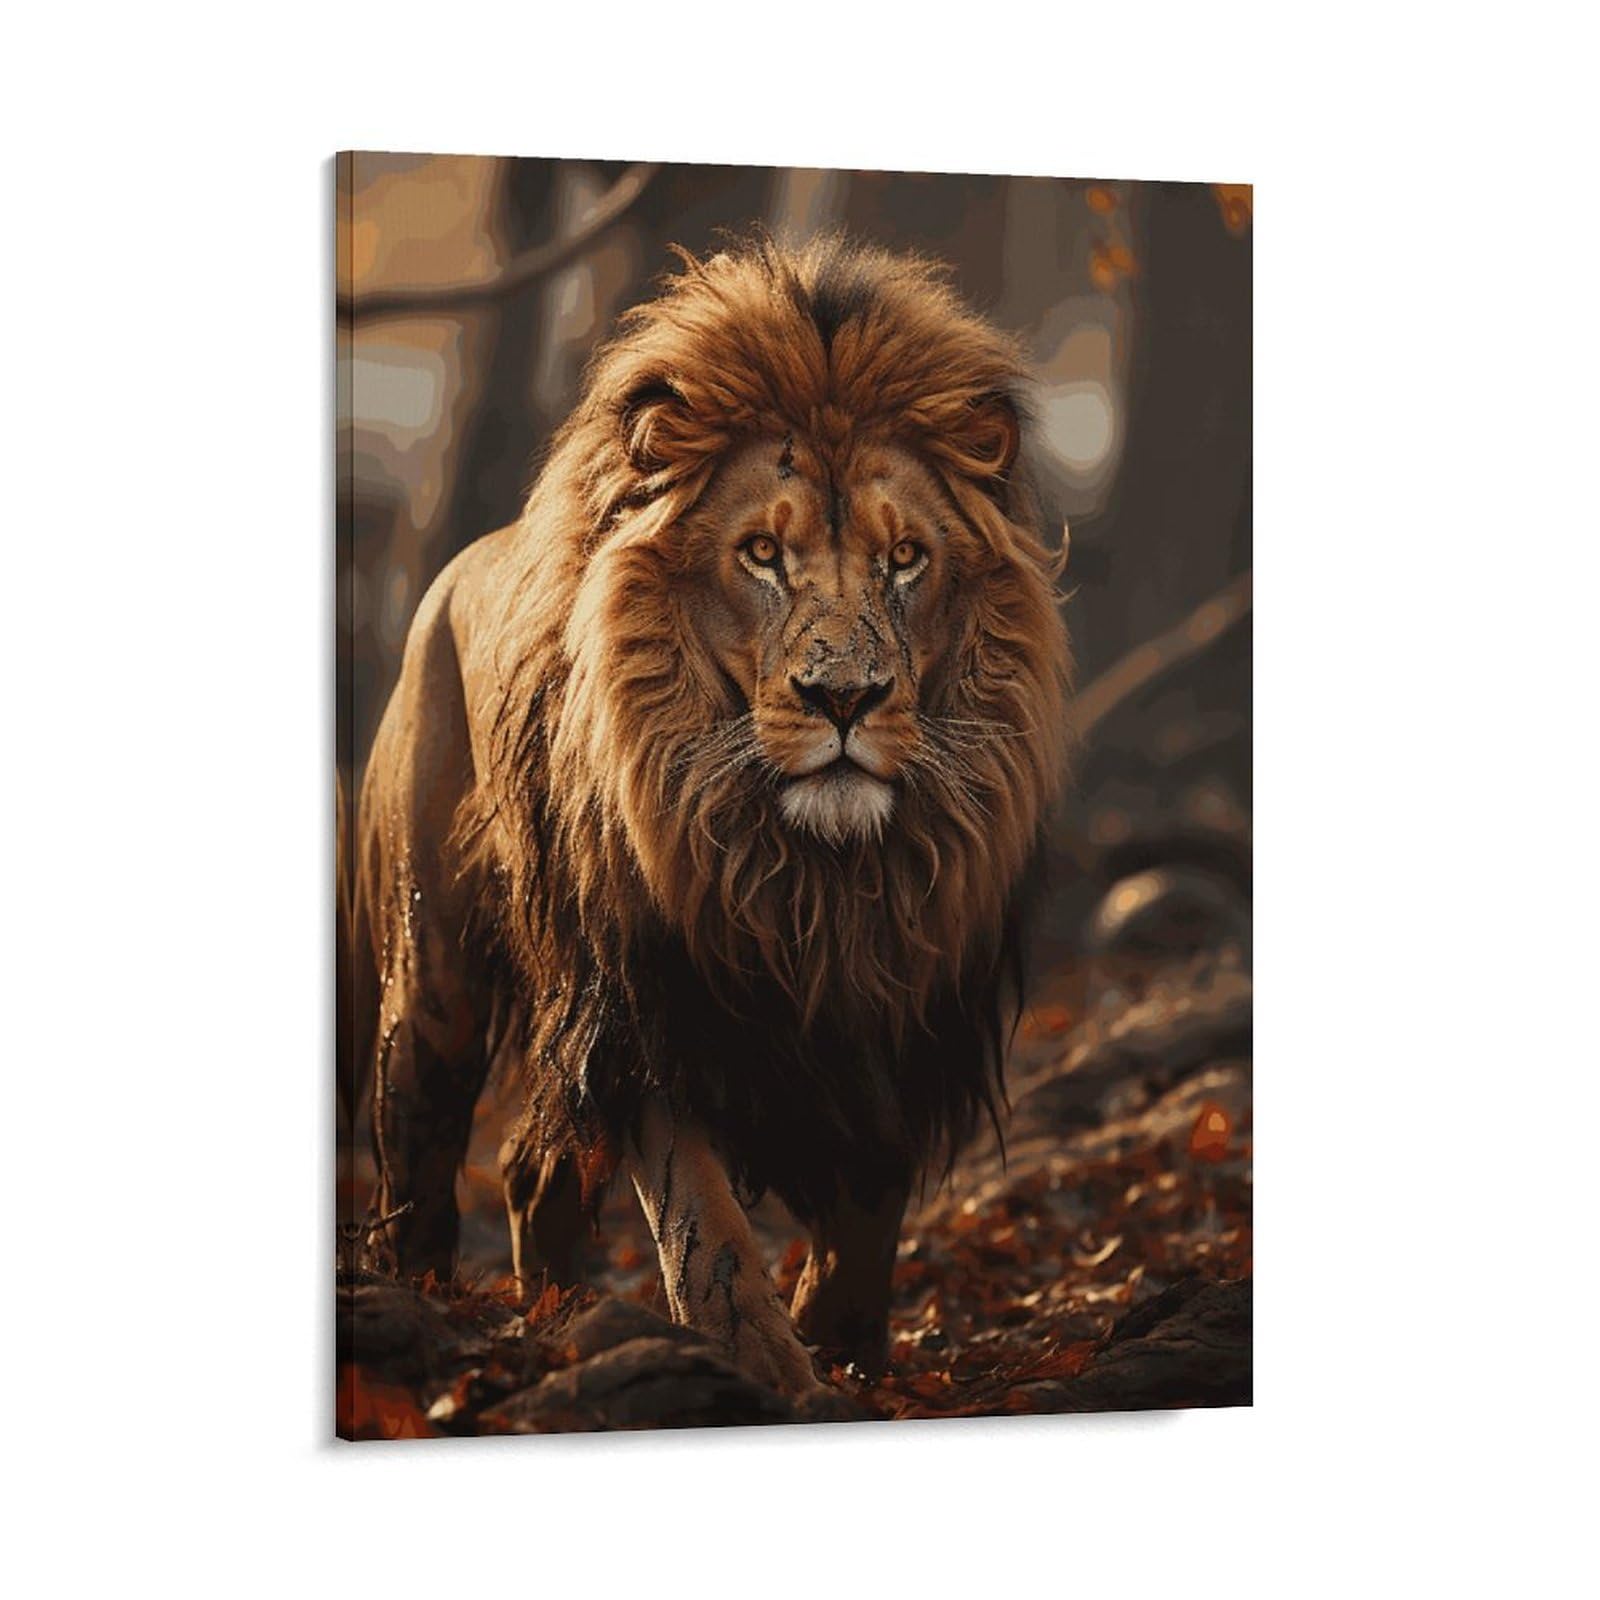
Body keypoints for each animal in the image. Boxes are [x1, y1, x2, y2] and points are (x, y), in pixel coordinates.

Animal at [351, 237, 1071, 1396]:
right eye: (762, 556)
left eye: (905, 558)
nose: (844, 698)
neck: (813, 876)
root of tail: (454, 571)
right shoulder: (647, 997)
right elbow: (707, 1231)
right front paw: (767, 1370)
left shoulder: (898, 1006)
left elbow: (868, 1206)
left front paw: (847, 1351)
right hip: (436, 976)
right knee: (416, 1150)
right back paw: (416, 1307)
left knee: (527, 1168)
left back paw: (557, 1315)